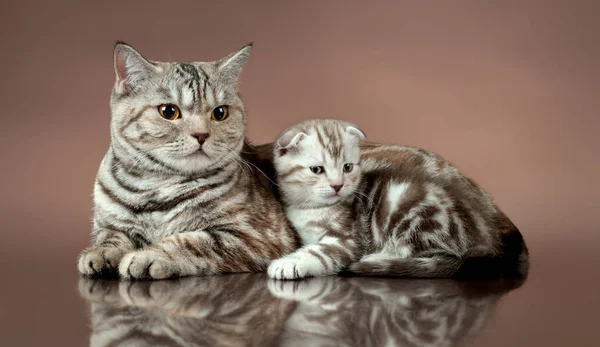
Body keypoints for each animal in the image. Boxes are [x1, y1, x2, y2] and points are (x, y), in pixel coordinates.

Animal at [76, 42, 298, 280]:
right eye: (168, 111)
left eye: (220, 112)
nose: (201, 134)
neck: (157, 188)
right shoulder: (108, 225)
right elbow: (110, 236)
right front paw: (101, 252)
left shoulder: (257, 237)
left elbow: (190, 241)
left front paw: (148, 256)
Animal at [264, 119, 528, 280]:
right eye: (317, 170)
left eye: (347, 167)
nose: (338, 185)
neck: (309, 208)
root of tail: (487, 238)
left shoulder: (348, 239)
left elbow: (319, 253)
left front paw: (288, 264)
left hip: (411, 209)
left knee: (438, 257)